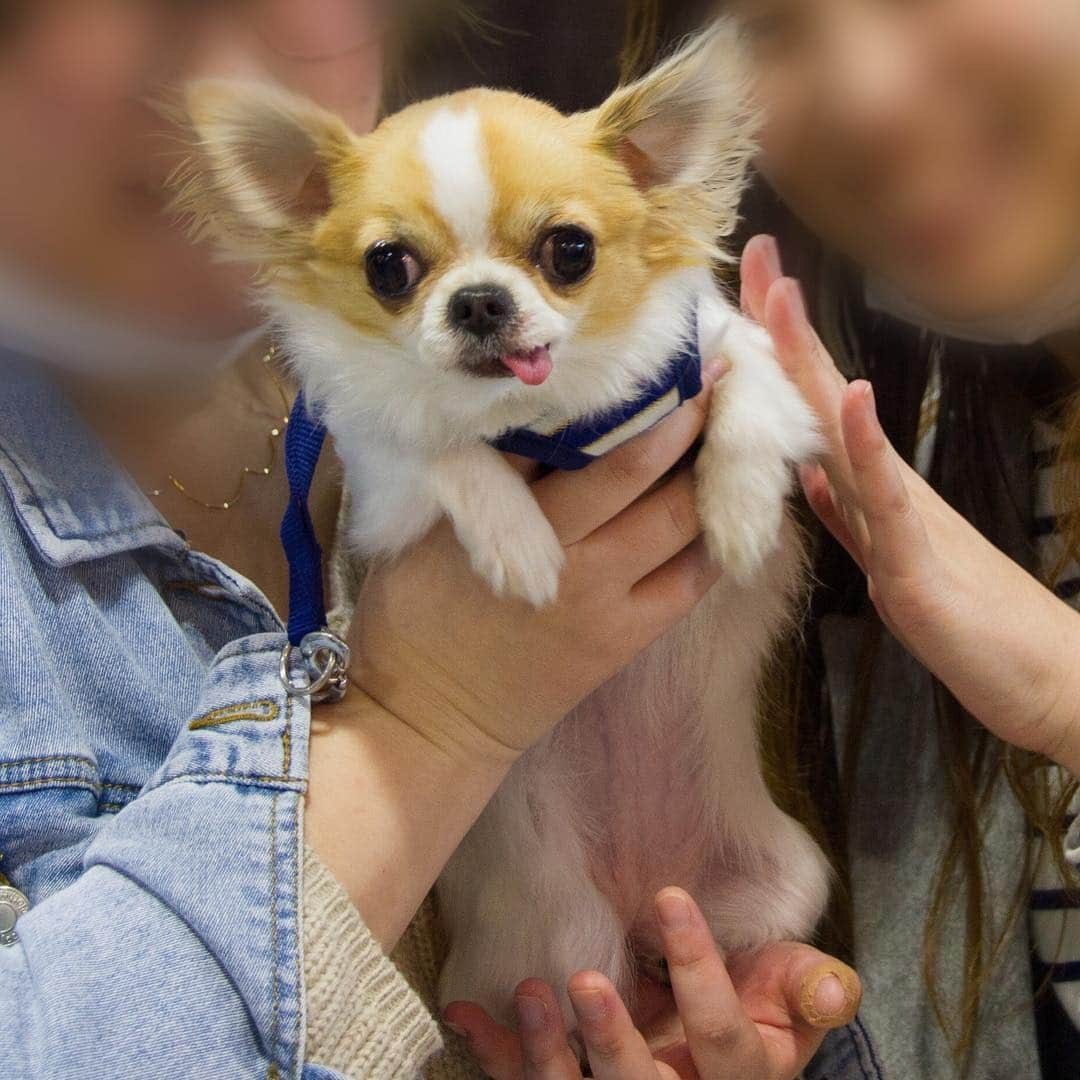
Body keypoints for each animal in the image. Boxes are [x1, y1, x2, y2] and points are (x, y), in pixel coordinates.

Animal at [181, 21, 829, 1023]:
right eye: (388, 266)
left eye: (570, 250)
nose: (478, 299)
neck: (546, 421)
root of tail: (643, 901)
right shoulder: (387, 492)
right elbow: (440, 444)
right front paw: (522, 543)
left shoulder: (727, 352)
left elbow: (749, 397)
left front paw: (742, 513)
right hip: (556, 950)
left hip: (786, 885)